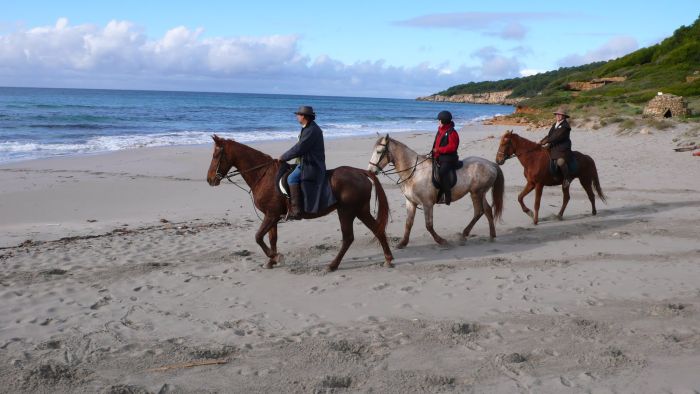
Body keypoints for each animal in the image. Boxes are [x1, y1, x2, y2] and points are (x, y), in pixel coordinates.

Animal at [206, 135, 394, 270]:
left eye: (216, 155)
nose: (209, 180)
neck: (263, 175)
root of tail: (361, 172)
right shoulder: (273, 216)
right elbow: (272, 239)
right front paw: (271, 261)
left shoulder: (271, 215)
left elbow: (258, 237)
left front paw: (276, 257)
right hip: (360, 210)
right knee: (377, 229)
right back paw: (388, 259)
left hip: (346, 212)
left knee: (348, 238)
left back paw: (332, 265)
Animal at [366, 134, 504, 248]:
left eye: (379, 151)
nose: (369, 171)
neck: (414, 173)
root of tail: (491, 164)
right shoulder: (411, 203)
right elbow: (408, 223)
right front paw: (403, 243)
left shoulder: (427, 204)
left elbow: (429, 225)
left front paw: (441, 241)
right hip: (481, 193)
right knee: (487, 210)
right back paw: (492, 235)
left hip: (476, 193)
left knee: (479, 211)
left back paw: (464, 234)